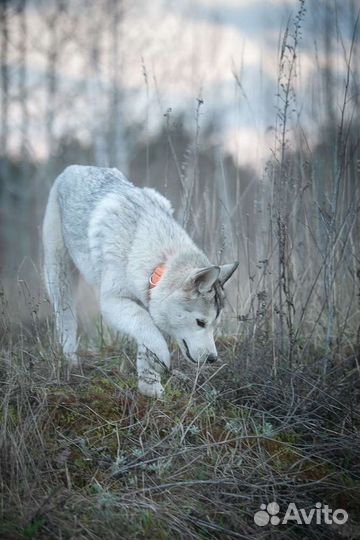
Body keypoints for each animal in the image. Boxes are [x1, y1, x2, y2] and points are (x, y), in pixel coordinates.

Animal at [42, 167, 238, 398]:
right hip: (60, 275)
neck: (158, 264)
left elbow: (146, 339)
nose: (212, 359)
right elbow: (146, 326)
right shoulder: (113, 302)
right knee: (65, 319)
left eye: (215, 324)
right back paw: (70, 359)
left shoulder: (148, 300)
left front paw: (150, 387)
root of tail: (73, 168)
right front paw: (160, 360)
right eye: (200, 323)